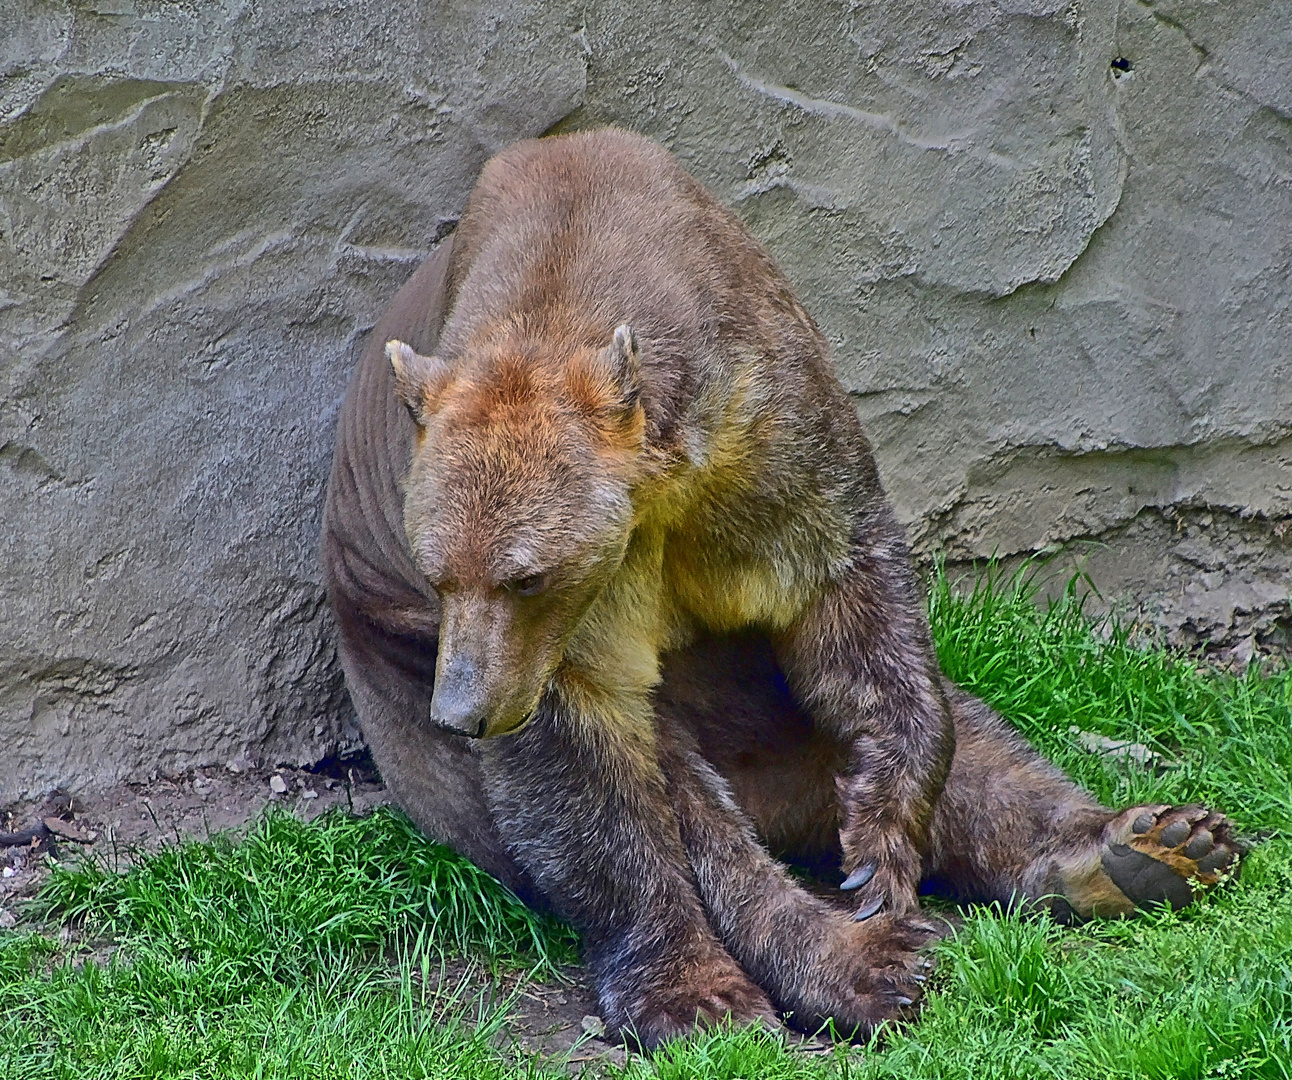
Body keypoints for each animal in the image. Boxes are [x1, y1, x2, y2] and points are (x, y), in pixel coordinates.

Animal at [323, 128, 1240, 1043]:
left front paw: (880, 841)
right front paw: (694, 989)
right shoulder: (580, 616)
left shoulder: (766, 431)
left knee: (985, 748)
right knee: (698, 816)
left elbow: (857, 610)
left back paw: (1153, 845)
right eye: (438, 572)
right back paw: (864, 965)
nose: (464, 710)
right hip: (421, 725)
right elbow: (595, 772)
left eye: (526, 576)